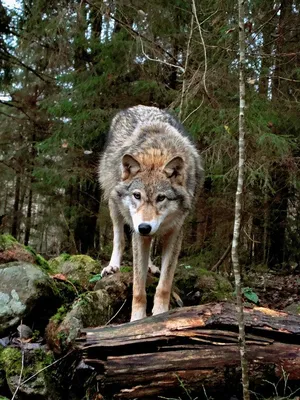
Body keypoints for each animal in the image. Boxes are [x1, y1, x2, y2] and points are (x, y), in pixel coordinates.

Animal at [98, 104, 204, 320]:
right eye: (137, 195)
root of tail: (139, 106)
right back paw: (113, 266)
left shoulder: (175, 233)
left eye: (161, 198)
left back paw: (150, 265)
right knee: (119, 237)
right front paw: (137, 320)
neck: (157, 152)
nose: (144, 227)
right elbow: (138, 288)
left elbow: (164, 284)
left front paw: (160, 315)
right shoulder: (137, 233)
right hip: (113, 202)